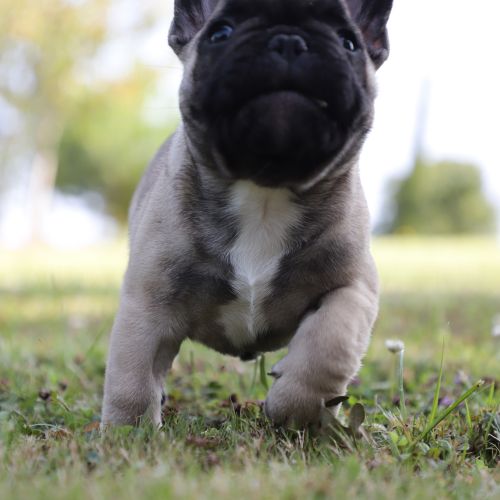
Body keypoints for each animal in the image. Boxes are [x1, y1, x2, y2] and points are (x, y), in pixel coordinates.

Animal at [102, 0, 393, 428]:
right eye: (220, 33)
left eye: (348, 42)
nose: (288, 41)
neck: (265, 188)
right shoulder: (148, 301)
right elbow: (132, 376)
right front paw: (128, 434)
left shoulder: (353, 288)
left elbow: (329, 344)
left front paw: (293, 408)